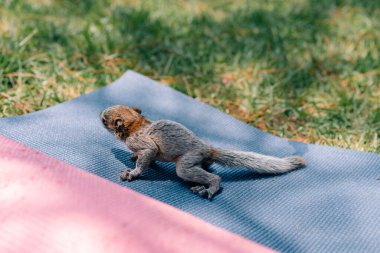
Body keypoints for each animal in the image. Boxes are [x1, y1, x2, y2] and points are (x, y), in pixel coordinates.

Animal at [101, 105, 306, 200]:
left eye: (104, 120)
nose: (99, 116)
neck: (136, 123)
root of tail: (205, 148)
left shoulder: (136, 141)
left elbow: (150, 150)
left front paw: (134, 172)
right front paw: (137, 158)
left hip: (187, 161)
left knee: (187, 172)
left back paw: (211, 186)